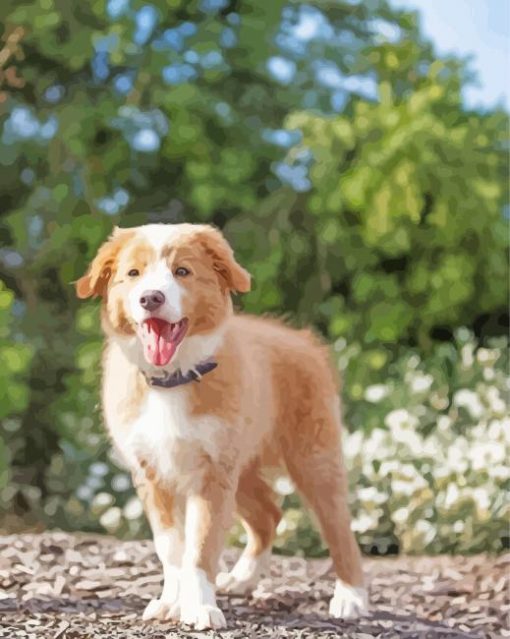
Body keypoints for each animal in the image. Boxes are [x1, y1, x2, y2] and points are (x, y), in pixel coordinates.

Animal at [75, 224, 368, 632]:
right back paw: (244, 579)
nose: (151, 298)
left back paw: (351, 596)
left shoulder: (212, 473)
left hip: (313, 458)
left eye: (182, 271)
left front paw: (199, 607)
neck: (173, 379)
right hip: (242, 469)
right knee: (268, 515)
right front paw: (171, 602)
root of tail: (303, 339)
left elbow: (202, 546)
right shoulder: (152, 473)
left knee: (338, 526)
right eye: (133, 274)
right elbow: (172, 548)